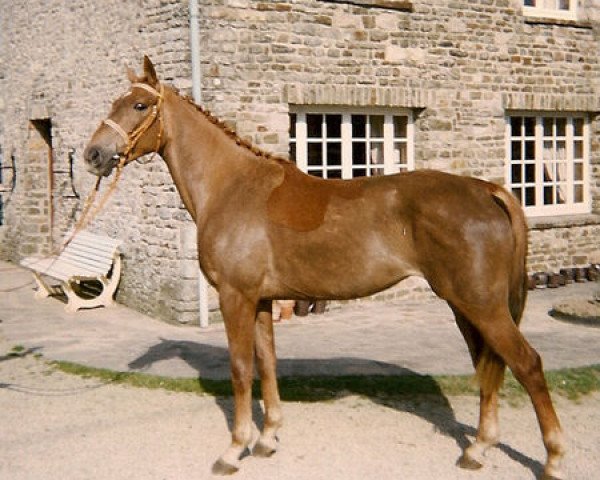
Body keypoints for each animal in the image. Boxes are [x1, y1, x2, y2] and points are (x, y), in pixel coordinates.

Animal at [83, 58, 564, 478]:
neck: (231, 187)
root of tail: (486, 190)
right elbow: (267, 363)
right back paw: (477, 449)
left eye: (138, 105)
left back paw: (553, 459)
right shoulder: (262, 301)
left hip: (481, 304)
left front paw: (234, 450)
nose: (93, 154)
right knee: (488, 363)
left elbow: (239, 369)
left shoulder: (235, 297)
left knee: (527, 363)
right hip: (465, 306)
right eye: (115, 102)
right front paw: (268, 439)